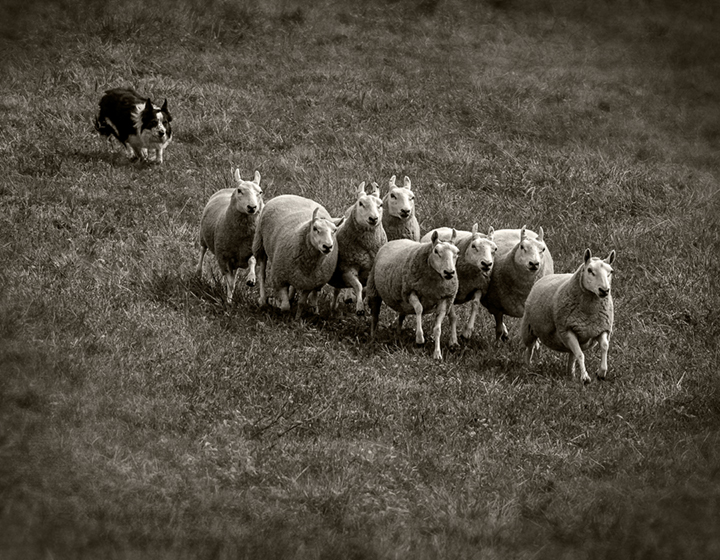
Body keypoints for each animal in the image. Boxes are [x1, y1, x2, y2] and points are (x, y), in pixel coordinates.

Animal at [197, 169, 263, 303]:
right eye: (240, 190)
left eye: (260, 192)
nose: (252, 207)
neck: (242, 236)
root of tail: (228, 188)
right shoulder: (223, 257)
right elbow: (230, 283)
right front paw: (228, 302)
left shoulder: (250, 250)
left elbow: (252, 261)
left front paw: (251, 279)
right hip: (203, 236)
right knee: (202, 251)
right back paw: (198, 273)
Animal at [328, 181, 387, 315]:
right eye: (361, 203)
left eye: (380, 205)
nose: (373, 219)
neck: (367, 245)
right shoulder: (347, 268)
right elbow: (359, 287)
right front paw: (360, 308)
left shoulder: (370, 271)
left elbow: (364, 289)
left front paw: (364, 304)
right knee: (337, 290)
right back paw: (335, 306)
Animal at [367, 230, 460, 360]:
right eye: (436, 251)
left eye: (457, 252)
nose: (449, 272)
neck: (431, 287)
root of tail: (396, 240)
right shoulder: (410, 291)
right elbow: (419, 309)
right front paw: (420, 338)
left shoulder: (445, 299)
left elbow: (437, 329)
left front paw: (437, 353)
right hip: (374, 289)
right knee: (375, 316)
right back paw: (372, 336)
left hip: (401, 300)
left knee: (401, 316)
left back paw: (398, 333)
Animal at [520, 249, 616, 384]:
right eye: (590, 270)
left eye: (611, 272)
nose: (604, 290)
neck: (589, 312)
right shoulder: (567, 330)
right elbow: (581, 355)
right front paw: (585, 377)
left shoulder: (601, 328)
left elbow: (604, 347)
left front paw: (601, 373)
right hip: (529, 328)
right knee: (530, 348)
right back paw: (528, 367)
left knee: (573, 355)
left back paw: (571, 375)